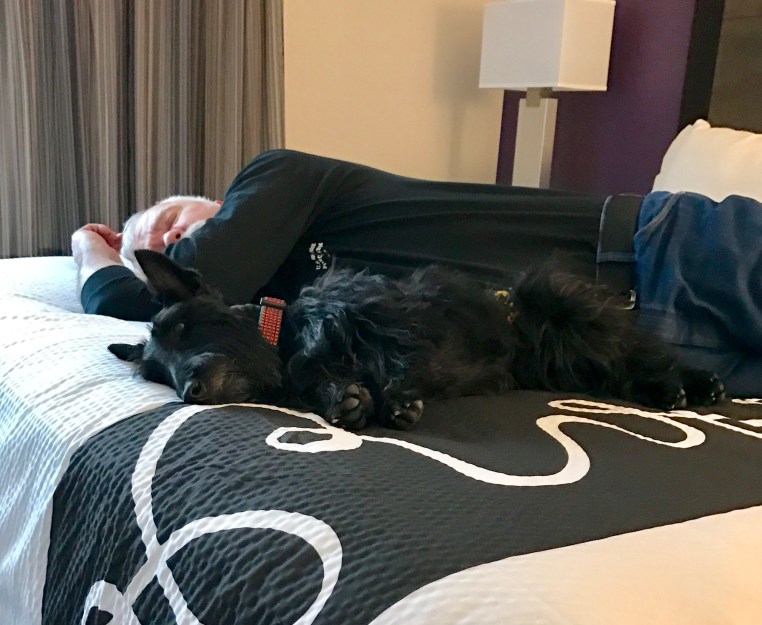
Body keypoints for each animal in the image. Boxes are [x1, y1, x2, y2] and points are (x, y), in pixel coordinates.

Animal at [109, 249, 726, 430]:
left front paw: (392, 398)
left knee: (640, 353)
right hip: (563, 366)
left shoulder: (382, 320)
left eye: (186, 327)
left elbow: (389, 359)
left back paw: (690, 386)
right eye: (157, 373)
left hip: (577, 318)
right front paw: (345, 399)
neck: (283, 338)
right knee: (616, 372)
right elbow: (326, 383)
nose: (188, 390)